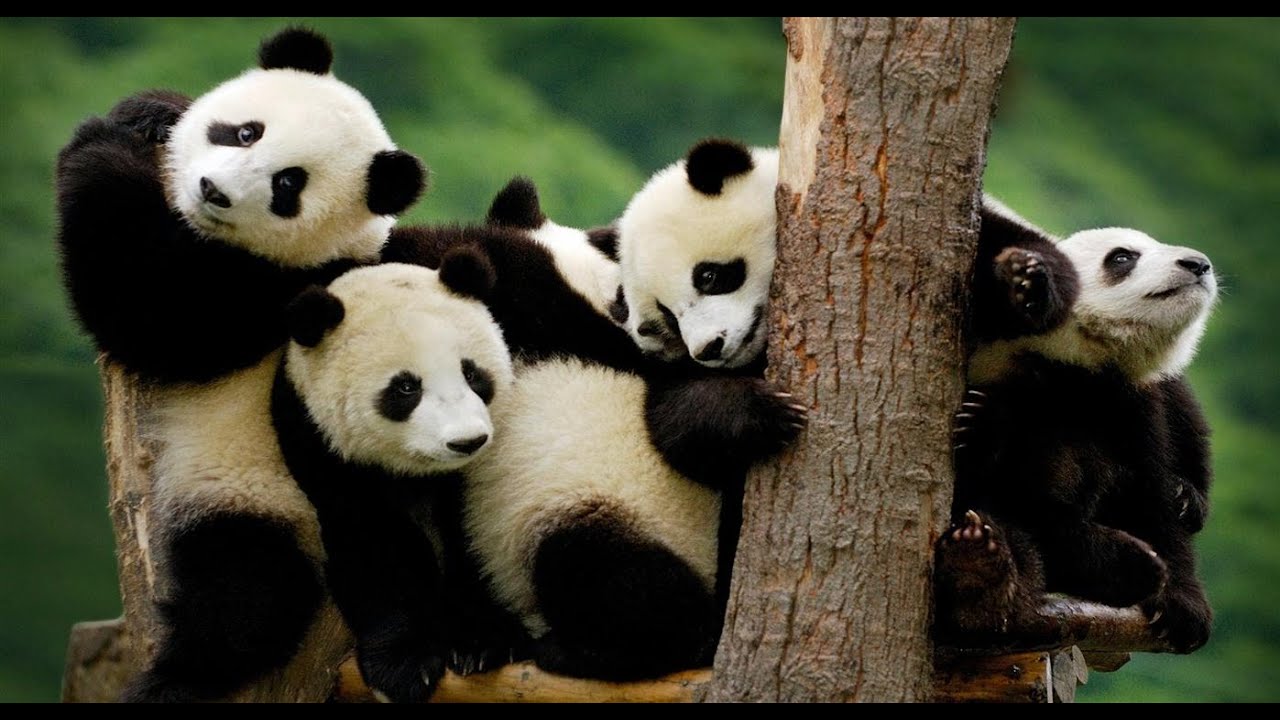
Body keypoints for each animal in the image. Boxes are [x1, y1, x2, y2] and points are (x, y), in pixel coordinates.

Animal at [53, 28, 426, 701]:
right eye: (246, 132)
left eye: (288, 185)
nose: (213, 191)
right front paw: (149, 112)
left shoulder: (277, 293)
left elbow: (149, 312)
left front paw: (99, 143)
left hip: (265, 495)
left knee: (245, 598)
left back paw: (173, 679)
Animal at [271, 260, 521, 703]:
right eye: (406, 387)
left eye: (472, 373)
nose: (467, 440)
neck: (418, 471)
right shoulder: (319, 443)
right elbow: (373, 546)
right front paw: (405, 666)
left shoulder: (472, 474)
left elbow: (473, 530)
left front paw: (481, 640)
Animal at [382, 146, 803, 681]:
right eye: (643, 304)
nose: (648, 334)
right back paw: (484, 642)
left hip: (618, 517)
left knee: (615, 579)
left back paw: (579, 649)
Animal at [935, 200, 1216, 654]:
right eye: (1122, 257)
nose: (1197, 264)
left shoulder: (1125, 402)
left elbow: (1149, 493)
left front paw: (1182, 604)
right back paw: (980, 577)